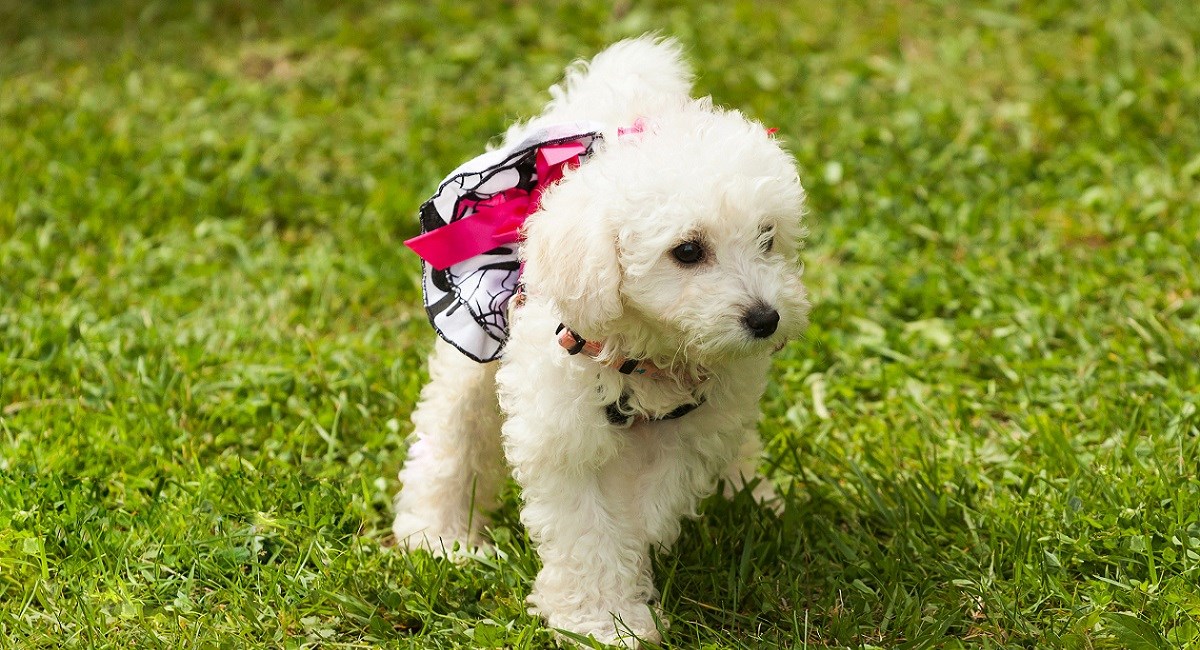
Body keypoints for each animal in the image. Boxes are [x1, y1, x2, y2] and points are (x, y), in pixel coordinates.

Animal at [393, 36, 806, 650]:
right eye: (688, 251)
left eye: (767, 237)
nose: (766, 319)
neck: (648, 356)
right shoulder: (563, 434)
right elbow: (590, 527)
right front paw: (602, 621)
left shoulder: (696, 428)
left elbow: (652, 501)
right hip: (472, 359)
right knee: (452, 435)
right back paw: (440, 536)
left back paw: (751, 495)